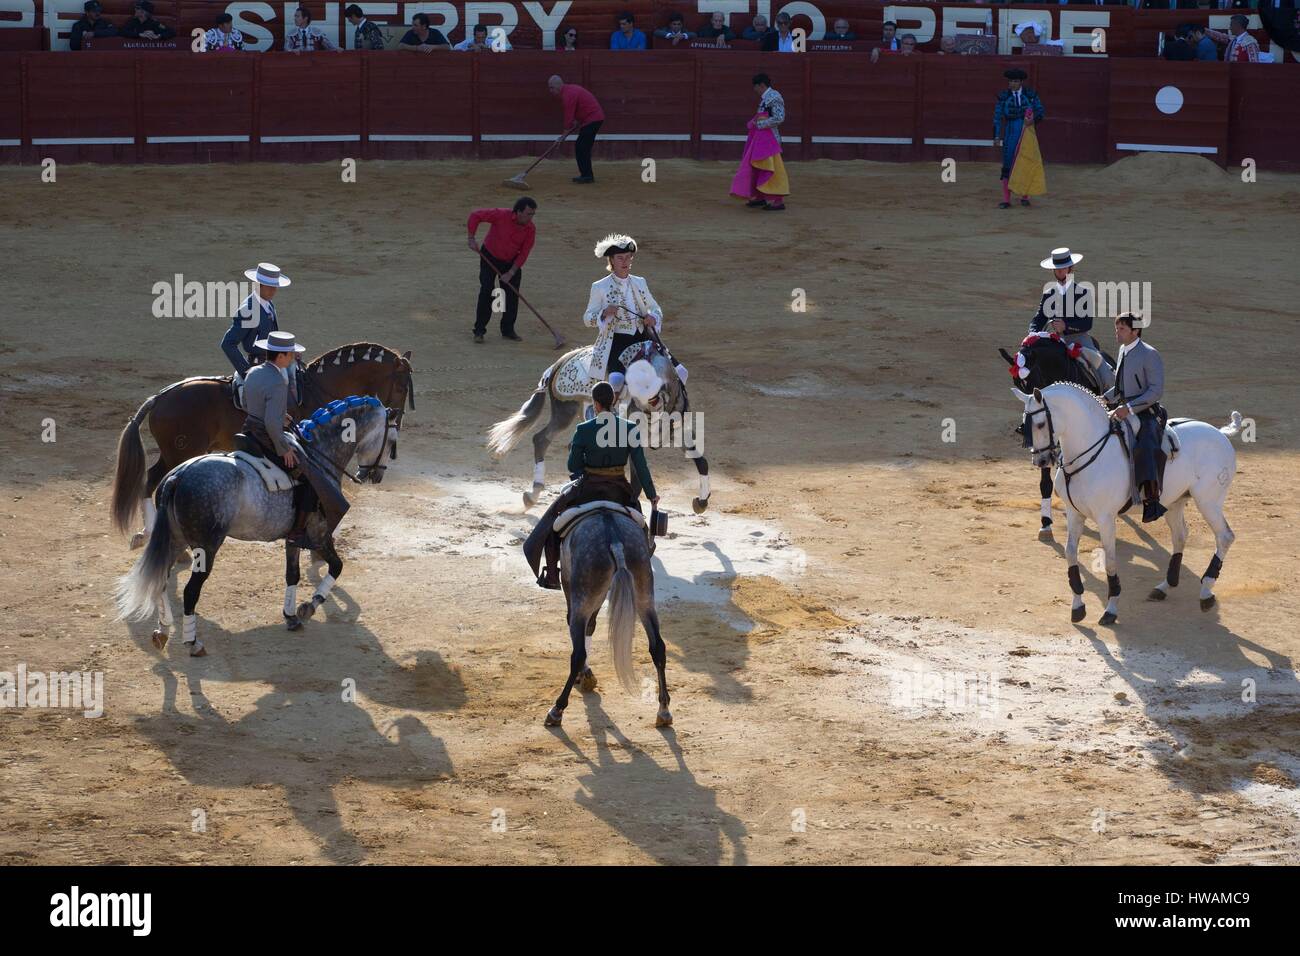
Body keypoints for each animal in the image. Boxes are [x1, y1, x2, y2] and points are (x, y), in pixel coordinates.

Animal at [113, 348, 416, 548]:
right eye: (402, 387)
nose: (397, 419)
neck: (318, 387)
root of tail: (160, 396)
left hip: (171, 453)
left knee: (150, 479)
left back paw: (147, 533)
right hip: (180, 452)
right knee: (154, 482)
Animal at [1008, 385, 1242, 624]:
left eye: (1040, 424)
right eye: (1024, 425)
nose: (1041, 461)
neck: (1088, 453)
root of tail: (1219, 433)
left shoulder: (1106, 518)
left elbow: (1110, 560)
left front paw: (1110, 610)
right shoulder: (1074, 513)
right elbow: (1070, 553)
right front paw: (1078, 607)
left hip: (1208, 501)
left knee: (1224, 536)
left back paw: (1206, 591)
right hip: (1174, 502)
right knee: (1180, 536)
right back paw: (1164, 587)